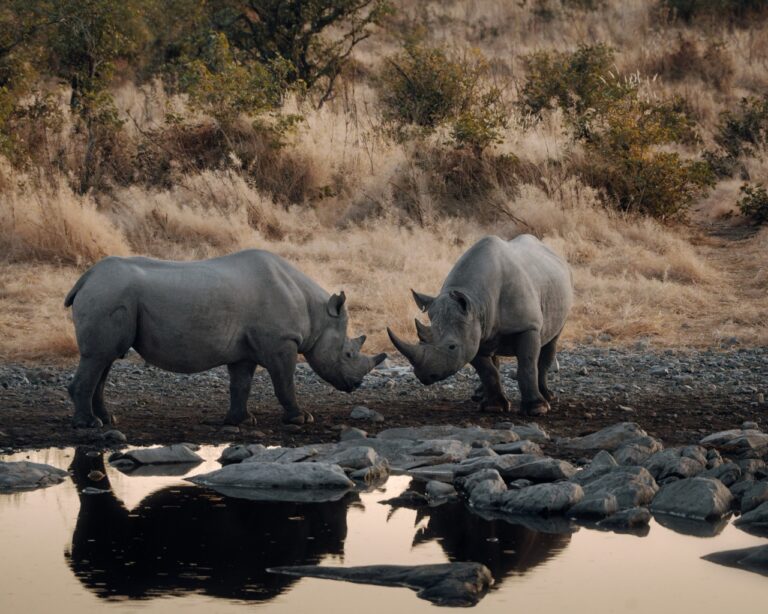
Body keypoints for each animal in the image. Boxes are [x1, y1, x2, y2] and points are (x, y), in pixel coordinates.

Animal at [64, 250, 386, 428]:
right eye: (347, 354)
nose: (356, 385)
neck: (316, 313)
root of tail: (86, 278)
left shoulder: (244, 351)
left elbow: (240, 385)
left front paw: (240, 421)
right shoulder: (281, 342)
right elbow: (285, 383)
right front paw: (301, 418)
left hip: (110, 294)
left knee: (105, 360)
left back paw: (108, 420)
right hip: (109, 293)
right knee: (99, 357)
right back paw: (89, 425)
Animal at [387, 235, 573, 416]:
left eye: (452, 347)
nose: (423, 375)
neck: (476, 301)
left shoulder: (528, 326)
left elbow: (527, 366)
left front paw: (537, 408)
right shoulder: (471, 331)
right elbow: (486, 370)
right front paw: (493, 407)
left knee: (550, 344)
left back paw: (549, 397)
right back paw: (479, 396)